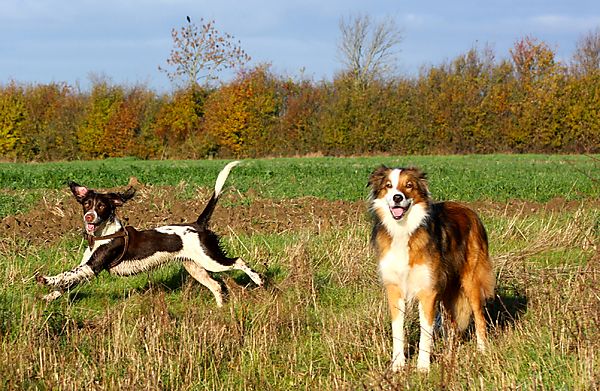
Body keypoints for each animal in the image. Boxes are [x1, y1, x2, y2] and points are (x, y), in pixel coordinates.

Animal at [37, 160, 262, 306]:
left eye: (101, 206)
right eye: (86, 204)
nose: (89, 217)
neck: (102, 235)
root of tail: (197, 224)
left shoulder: (93, 267)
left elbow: (66, 275)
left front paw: (45, 280)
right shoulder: (88, 267)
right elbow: (67, 284)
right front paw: (48, 297)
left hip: (210, 259)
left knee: (238, 261)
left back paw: (258, 279)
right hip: (194, 267)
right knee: (216, 286)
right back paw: (220, 310)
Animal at [368, 166, 494, 374]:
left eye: (408, 185)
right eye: (388, 186)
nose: (397, 197)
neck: (404, 231)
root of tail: (470, 211)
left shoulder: (428, 291)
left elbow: (425, 331)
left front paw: (423, 366)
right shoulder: (394, 290)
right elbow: (397, 330)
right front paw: (397, 364)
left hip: (470, 282)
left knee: (479, 317)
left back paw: (482, 350)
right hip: (448, 289)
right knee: (453, 322)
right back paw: (450, 353)